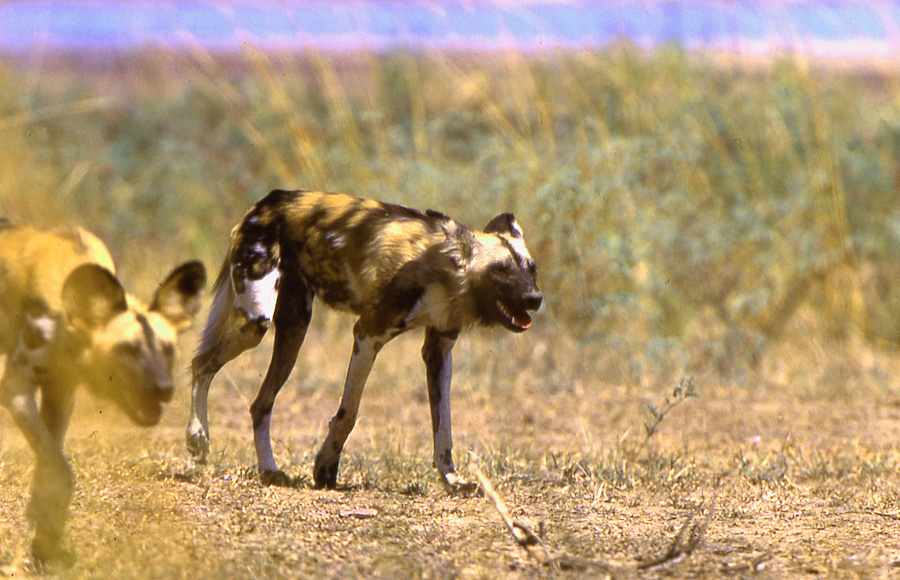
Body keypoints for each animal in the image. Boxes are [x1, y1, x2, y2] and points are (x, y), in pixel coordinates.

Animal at [0, 219, 206, 560]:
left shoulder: (60, 392)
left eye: (167, 350)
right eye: (127, 349)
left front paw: (45, 536)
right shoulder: (16, 388)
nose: (164, 388)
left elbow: (48, 467)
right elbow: (60, 472)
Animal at [186, 190, 540, 494]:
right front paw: (325, 468)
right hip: (255, 324)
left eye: (531, 269)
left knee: (260, 404)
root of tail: (267, 202)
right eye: (500, 269)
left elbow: (444, 428)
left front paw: (452, 480)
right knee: (200, 364)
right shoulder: (368, 333)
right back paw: (197, 438)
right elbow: (349, 414)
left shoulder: (439, 349)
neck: (443, 272)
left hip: (293, 331)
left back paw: (269, 470)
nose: (535, 298)